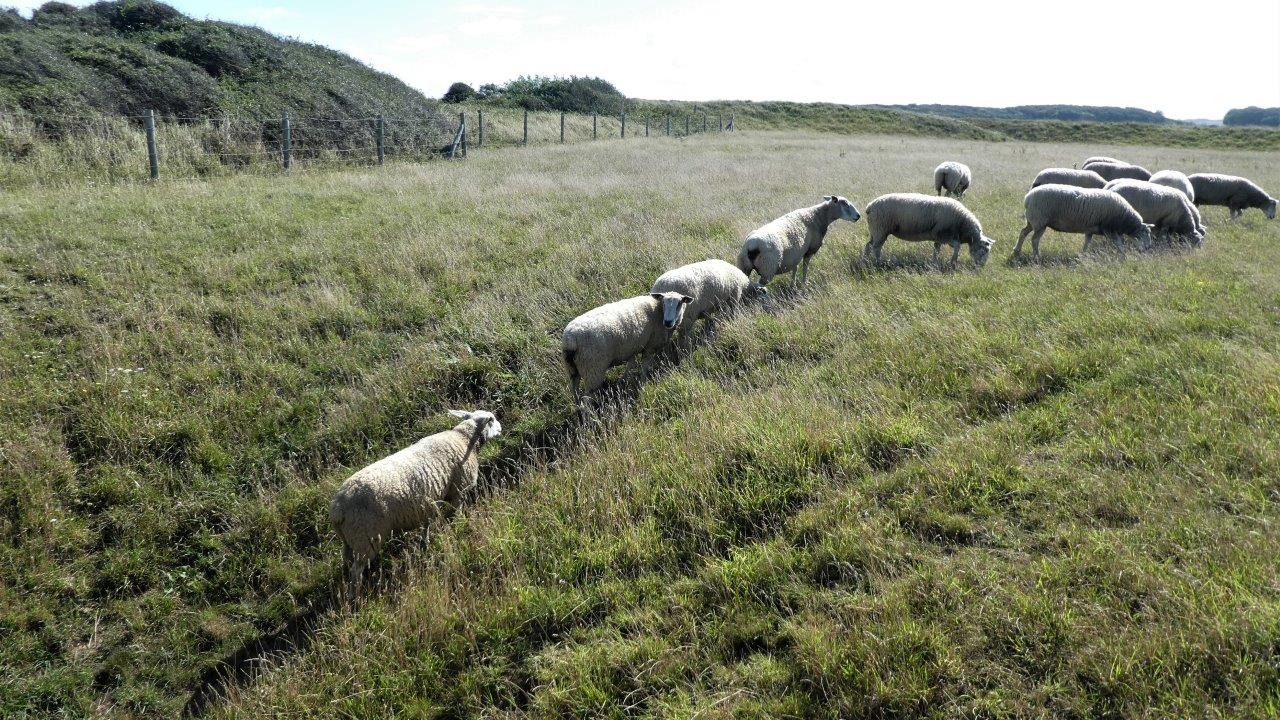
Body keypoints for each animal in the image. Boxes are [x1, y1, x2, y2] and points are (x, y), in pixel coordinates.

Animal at [327, 407, 501, 591]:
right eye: (492, 419)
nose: (501, 428)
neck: (463, 438)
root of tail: (338, 509)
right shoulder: (458, 491)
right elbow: (456, 513)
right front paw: (459, 525)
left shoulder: (427, 504)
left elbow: (426, 525)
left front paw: (425, 543)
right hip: (366, 537)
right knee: (356, 571)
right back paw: (356, 594)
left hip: (349, 539)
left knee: (347, 562)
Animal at [737, 197, 865, 286]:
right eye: (845, 204)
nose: (858, 216)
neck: (818, 217)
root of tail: (751, 246)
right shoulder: (810, 250)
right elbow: (805, 267)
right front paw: (804, 282)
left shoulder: (796, 254)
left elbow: (795, 268)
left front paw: (792, 284)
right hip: (767, 268)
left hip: (744, 266)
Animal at [865, 190, 993, 269]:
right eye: (984, 251)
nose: (981, 267)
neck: (962, 225)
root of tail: (870, 206)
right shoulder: (944, 235)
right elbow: (957, 246)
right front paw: (952, 262)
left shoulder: (938, 237)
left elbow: (936, 249)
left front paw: (934, 262)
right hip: (880, 229)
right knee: (876, 248)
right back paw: (879, 263)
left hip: (875, 231)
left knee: (868, 245)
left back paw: (865, 261)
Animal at [1013, 183, 1157, 262]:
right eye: (1146, 233)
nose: (1149, 247)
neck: (1124, 218)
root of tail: (1027, 198)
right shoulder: (1109, 229)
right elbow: (1119, 245)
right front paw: (1124, 256)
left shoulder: (1090, 230)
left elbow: (1087, 243)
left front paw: (1082, 256)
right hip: (1040, 221)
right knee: (1034, 240)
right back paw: (1037, 256)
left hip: (1033, 221)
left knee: (1023, 233)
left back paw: (1016, 251)